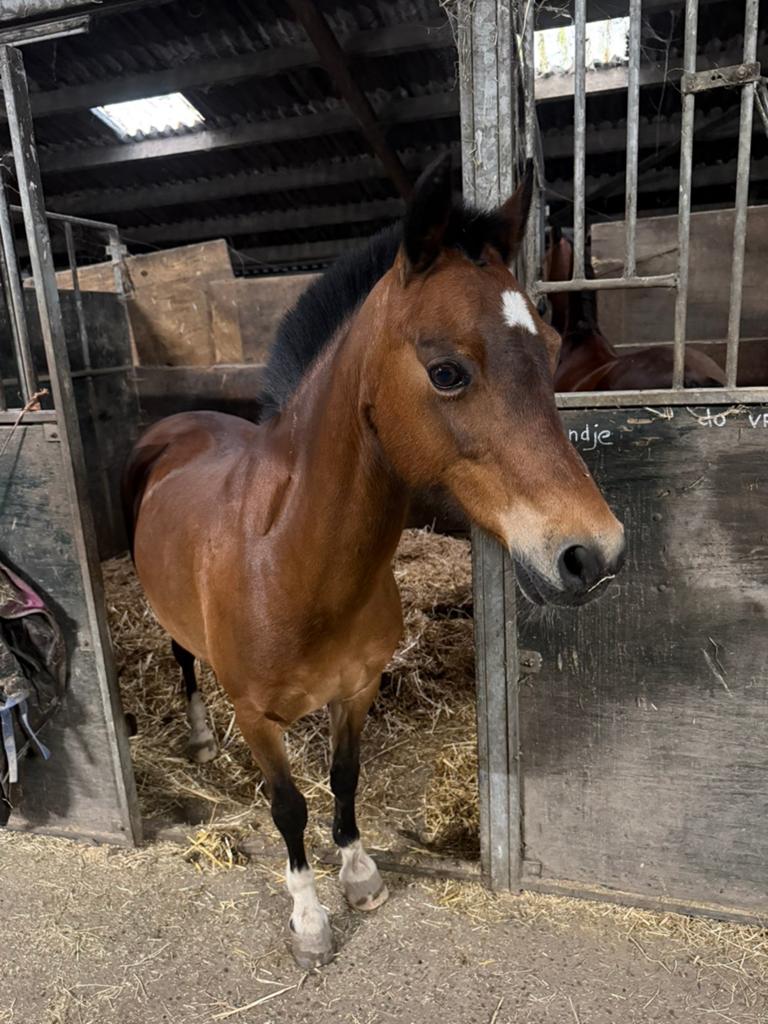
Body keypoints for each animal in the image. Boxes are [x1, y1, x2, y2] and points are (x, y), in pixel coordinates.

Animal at [122, 155, 626, 969]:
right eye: (447, 371)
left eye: (552, 352)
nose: (595, 553)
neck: (289, 561)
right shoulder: (256, 718)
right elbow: (288, 807)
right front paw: (309, 920)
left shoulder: (356, 690)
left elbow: (345, 778)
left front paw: (359, 876)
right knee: (181, 657)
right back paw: (197, 738)